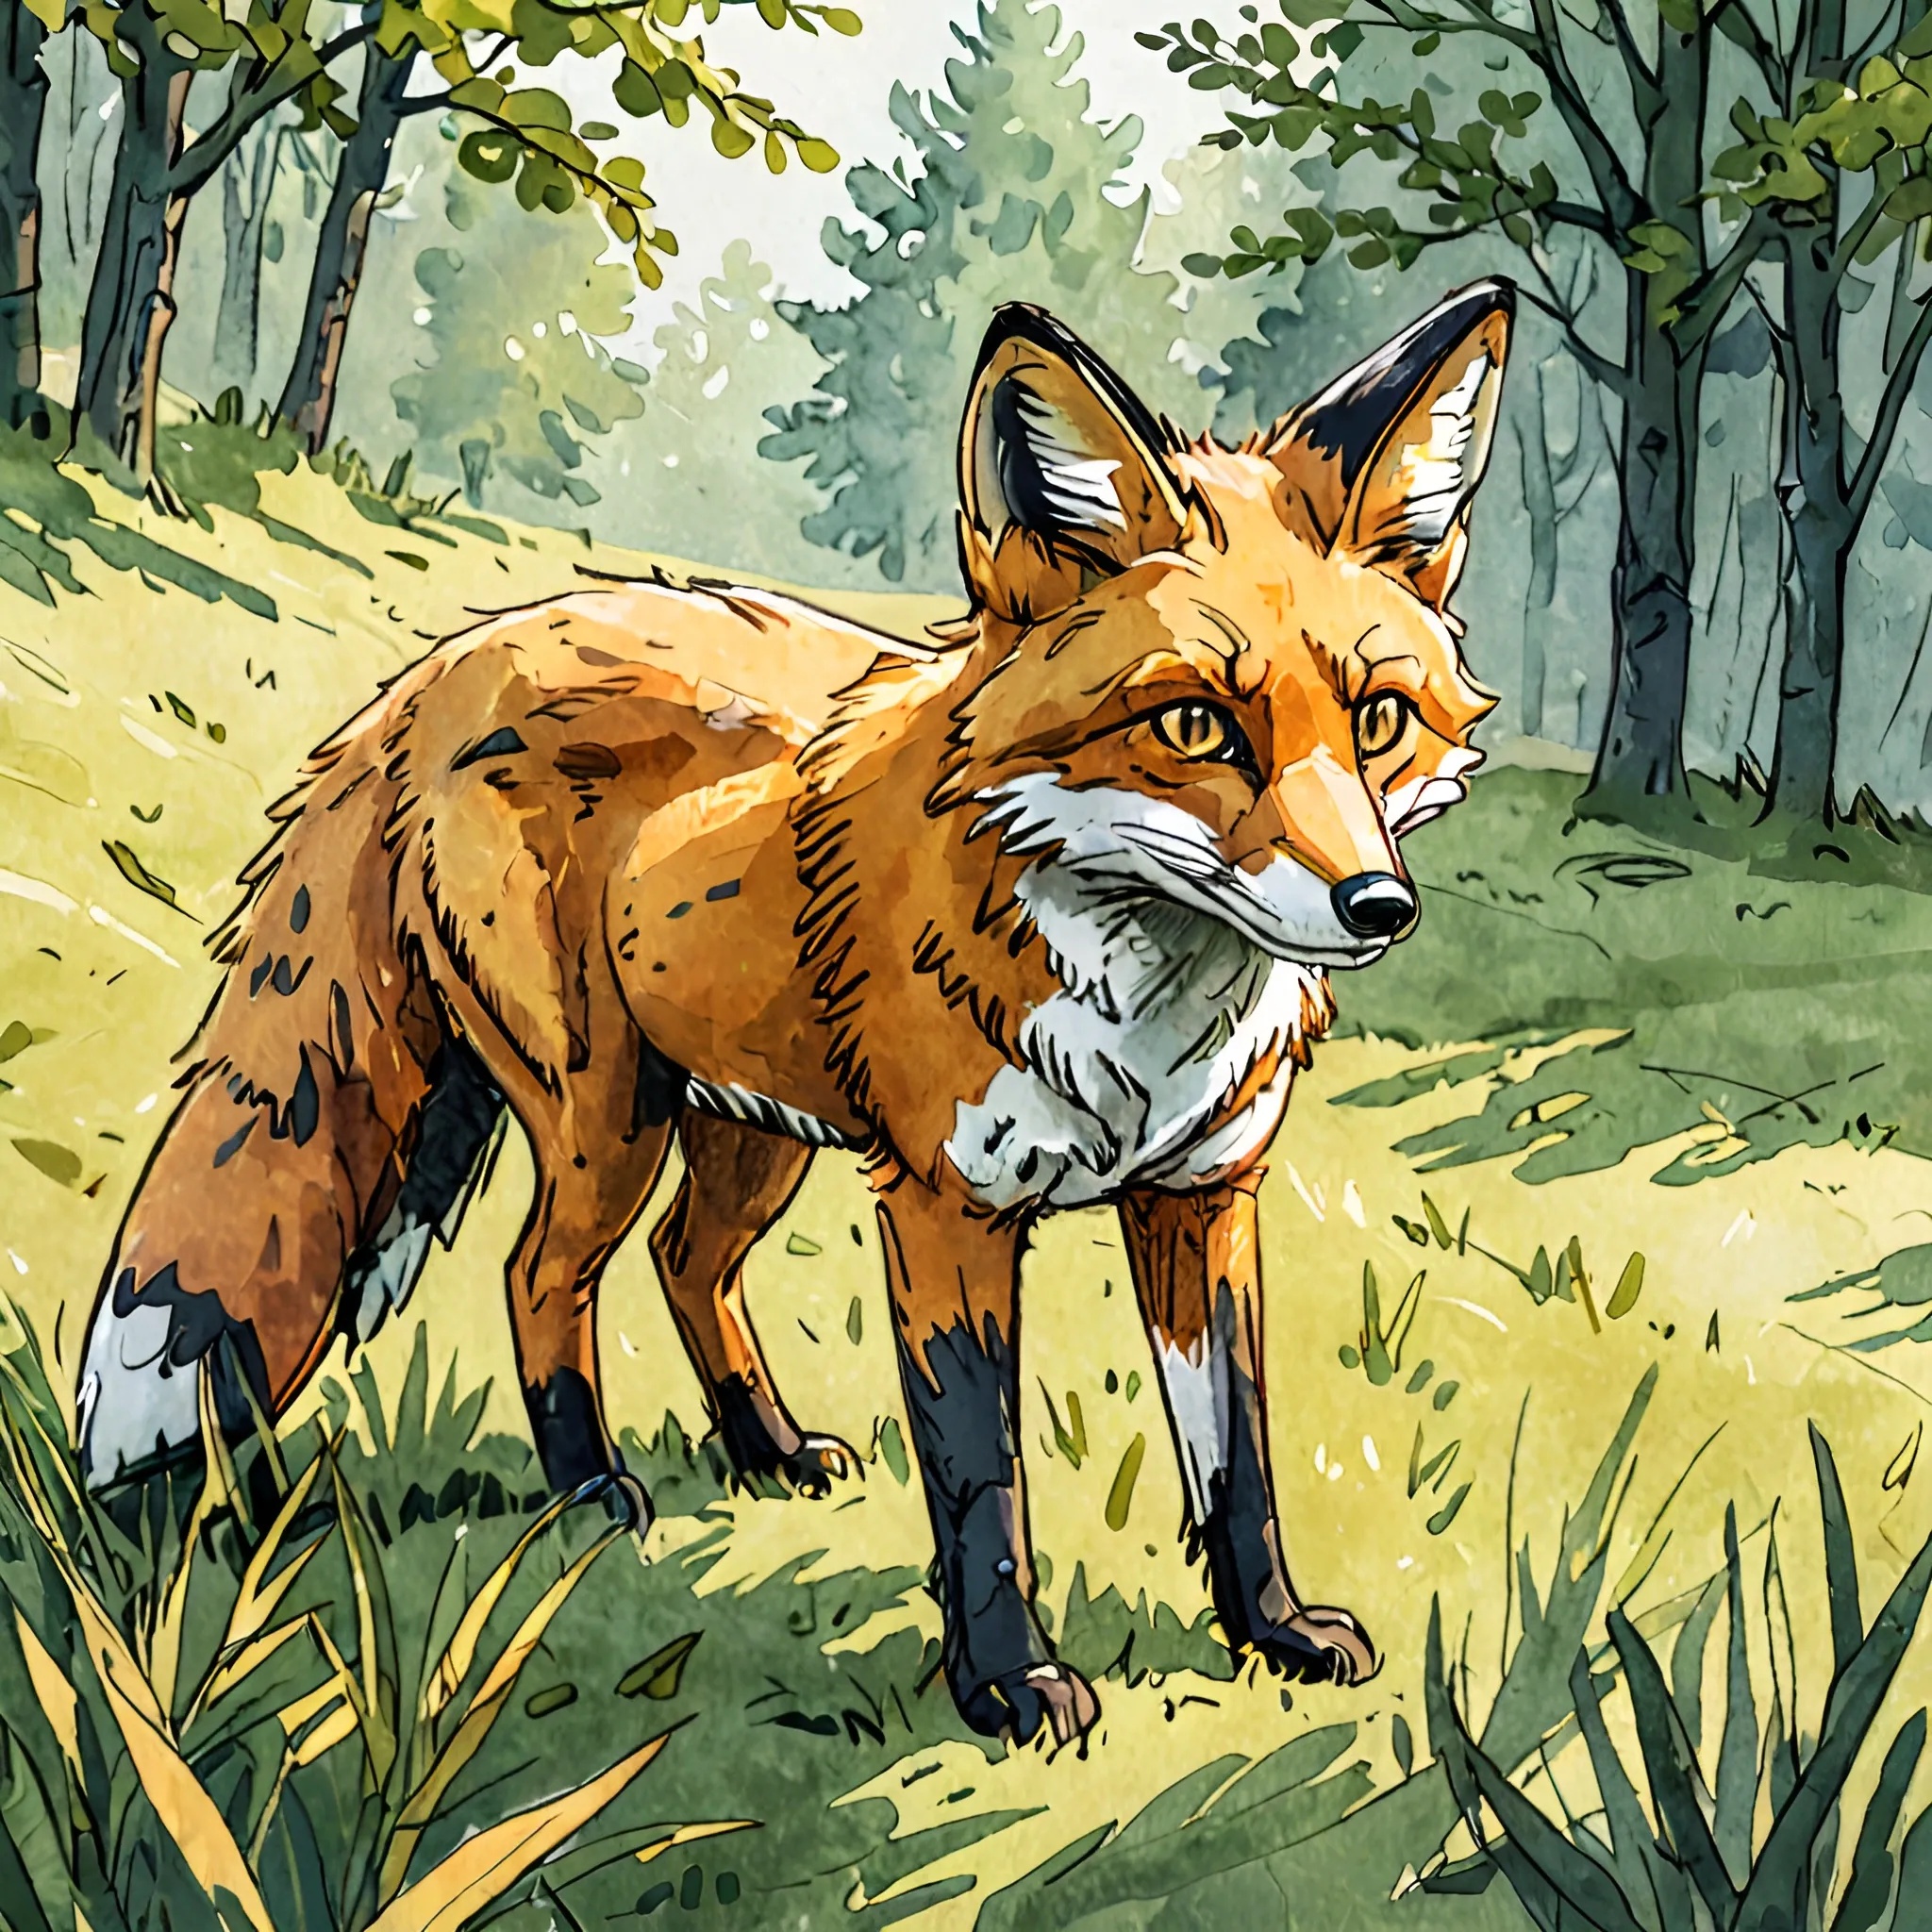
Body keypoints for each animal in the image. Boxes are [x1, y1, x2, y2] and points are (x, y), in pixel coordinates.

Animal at [78, 281, 1509, 1747]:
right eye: (1196, 728)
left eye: (1379, 720)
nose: (1375, 905)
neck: (1143, 1023)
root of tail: (454, 656)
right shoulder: (946, 1206)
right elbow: (982, 1478)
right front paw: (1009, 1686)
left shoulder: (1200, 1195)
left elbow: (1237, 1454)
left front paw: (1272, 1630)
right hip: (609, 1118)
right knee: (541, 1274)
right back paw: (588, 1496)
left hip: (750, 1127)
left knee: (683, 1263)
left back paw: (762, 1449)